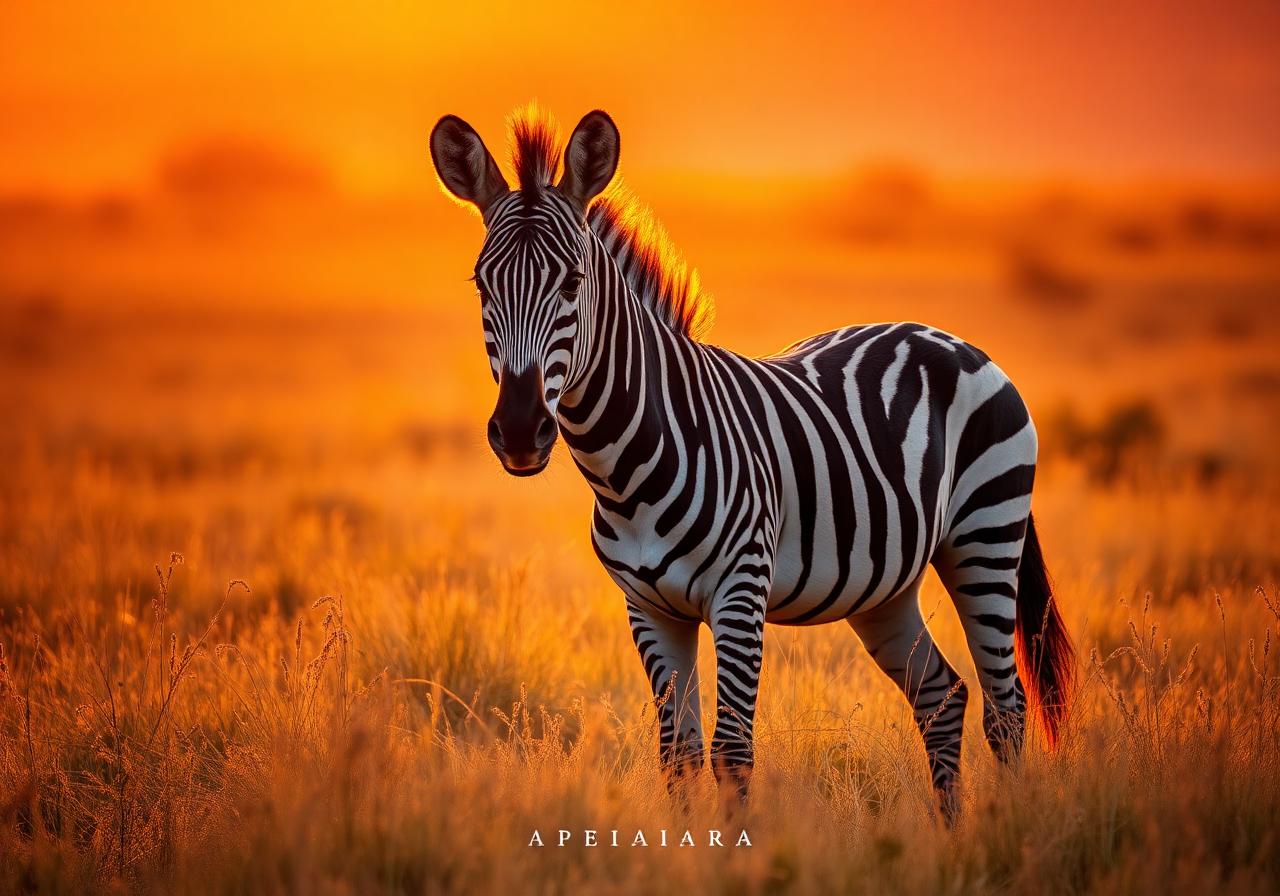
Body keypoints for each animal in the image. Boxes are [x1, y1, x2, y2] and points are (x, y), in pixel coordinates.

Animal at [429, 105, 1075, 819]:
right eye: (481, 285)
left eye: (572, 283)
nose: (519, 430)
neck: (625, 469)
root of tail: (950, 339)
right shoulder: (649, 609)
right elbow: (679, 757)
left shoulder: (740, 590)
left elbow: (731, 755)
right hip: (885, 586)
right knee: (942, 694)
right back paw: (951, 834)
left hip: (986, 534)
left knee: (1006, 708)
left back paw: (1004, 831)